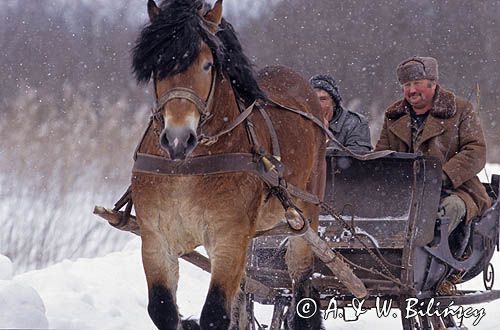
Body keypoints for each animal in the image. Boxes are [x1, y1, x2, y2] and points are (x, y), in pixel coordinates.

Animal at [128, 1, 328, 328]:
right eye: (159, 65)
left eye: (207, 65)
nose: (178, 138)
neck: (187, 169)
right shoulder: (156, 238)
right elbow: (162, 309)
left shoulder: (229, 237)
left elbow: (215, 313)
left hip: (305, 215)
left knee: (301, 282)